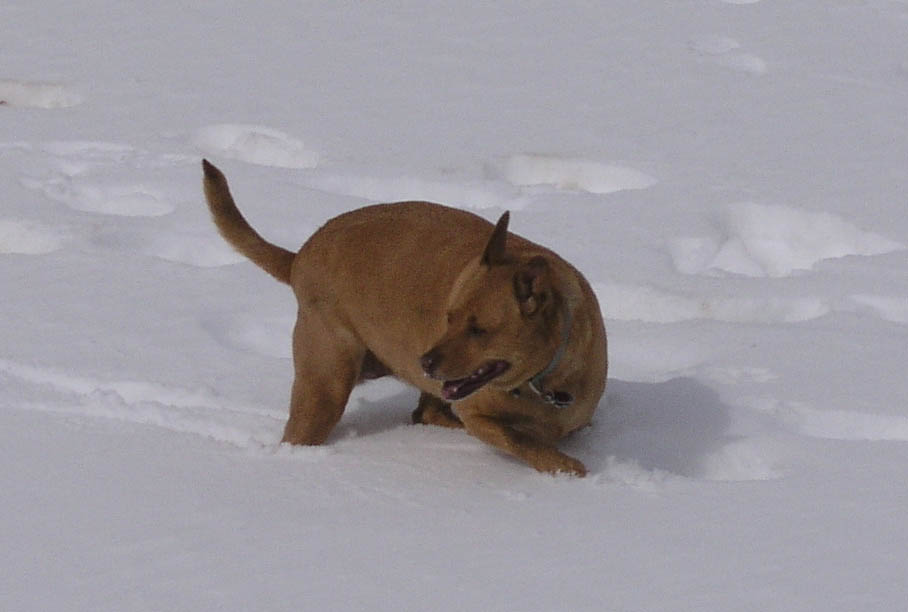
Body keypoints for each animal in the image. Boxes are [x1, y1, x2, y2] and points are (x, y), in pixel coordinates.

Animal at [202, 160, 608, 476]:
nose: (425, 362)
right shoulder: (478, 415)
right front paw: (567, 469)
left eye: (478, 329)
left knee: (423, 412)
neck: (544, 380)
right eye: (449, 317)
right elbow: (521, 441)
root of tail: (299, 256)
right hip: (326, 382)